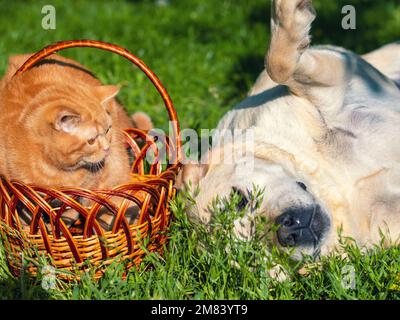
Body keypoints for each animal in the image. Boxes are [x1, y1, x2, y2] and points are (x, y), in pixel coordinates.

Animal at [0, 53, 152, 230]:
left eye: (108, 130)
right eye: (91, 140)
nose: (107, 148)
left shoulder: (86, 188)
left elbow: (73, 210)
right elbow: (27, 211)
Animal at [180, 0, 400, 258]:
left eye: (239, 200)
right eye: (253, 255)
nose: (288, 232)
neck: (332, 180)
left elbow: (278, 64)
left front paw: (289, 15)